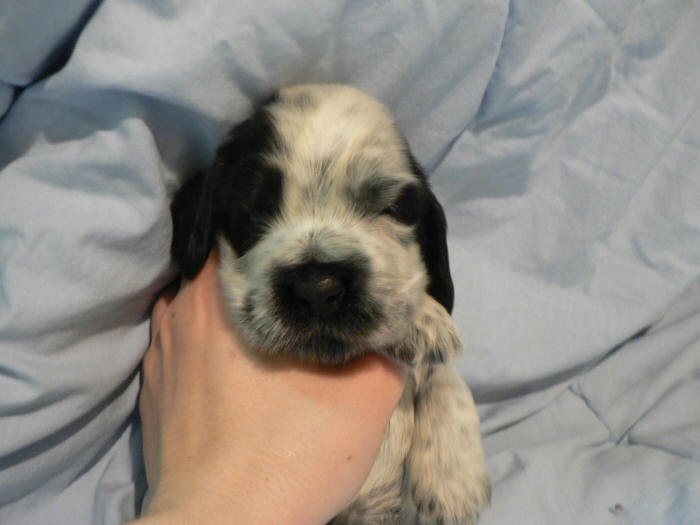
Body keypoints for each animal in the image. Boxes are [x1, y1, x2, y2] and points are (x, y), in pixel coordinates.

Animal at [170, 84, 490, 525]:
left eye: (388, 208)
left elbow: (444, 375)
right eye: (252, 214)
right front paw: (423, 318)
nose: (317, 287)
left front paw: (454, 478)